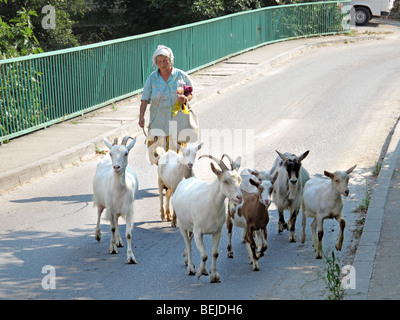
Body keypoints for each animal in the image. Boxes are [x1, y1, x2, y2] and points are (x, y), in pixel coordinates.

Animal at [92, 136, 139, 264]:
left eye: (126, 153)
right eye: (111, 153)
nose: (116, 167)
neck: (119, 190)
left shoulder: (129, 210)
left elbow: (128, 234)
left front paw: (131, 257)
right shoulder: (110, 208)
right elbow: (112, 228)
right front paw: (112, 249)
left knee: (117, 220)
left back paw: (118, 241)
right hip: (100, 201)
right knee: (99, 213)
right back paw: (98, 234)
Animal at [170, 154, 242, 282]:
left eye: (240, 179)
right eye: (225, 180)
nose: (239, 197)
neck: (211, 203)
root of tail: (184, 181)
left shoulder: (217, 232)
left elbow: (215, 254)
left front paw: (214, 275)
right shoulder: (199, 232)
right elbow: (204, 255)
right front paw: (201, 271)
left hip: (191, 227)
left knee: (189, 241)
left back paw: (188, 260)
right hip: (182, 225)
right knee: (188, 245)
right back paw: (190, 268)